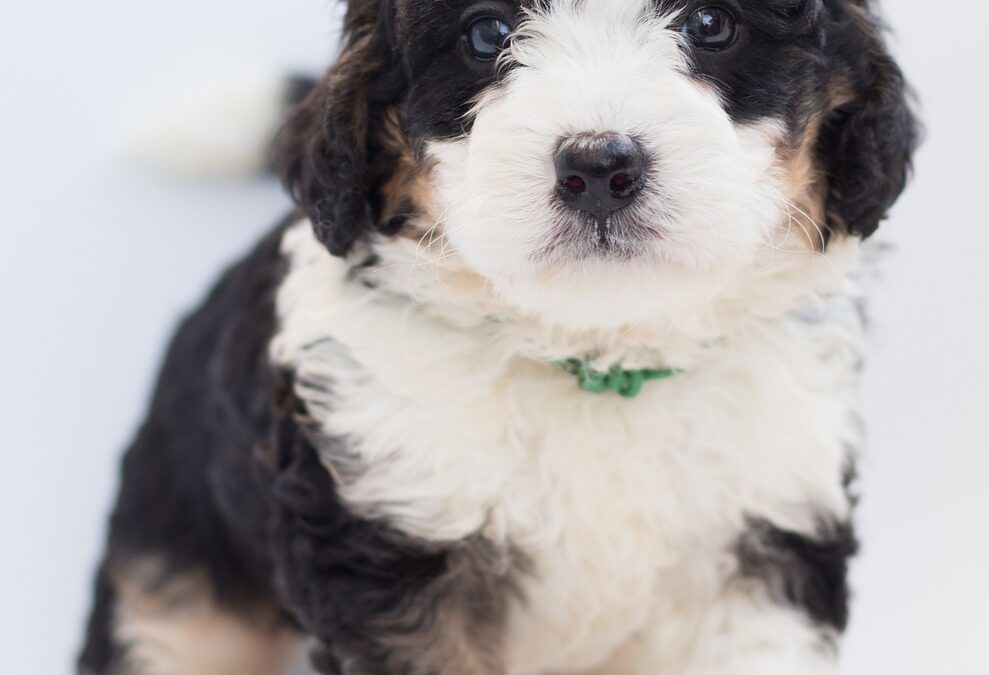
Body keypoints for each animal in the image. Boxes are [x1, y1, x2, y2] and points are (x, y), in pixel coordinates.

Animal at [79, 1, 920, 675]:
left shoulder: (767, 537)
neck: (596, 355)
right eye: (486, 34)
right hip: (177, 577)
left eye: (712, 25)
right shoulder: (388, 550)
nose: (598, 166)